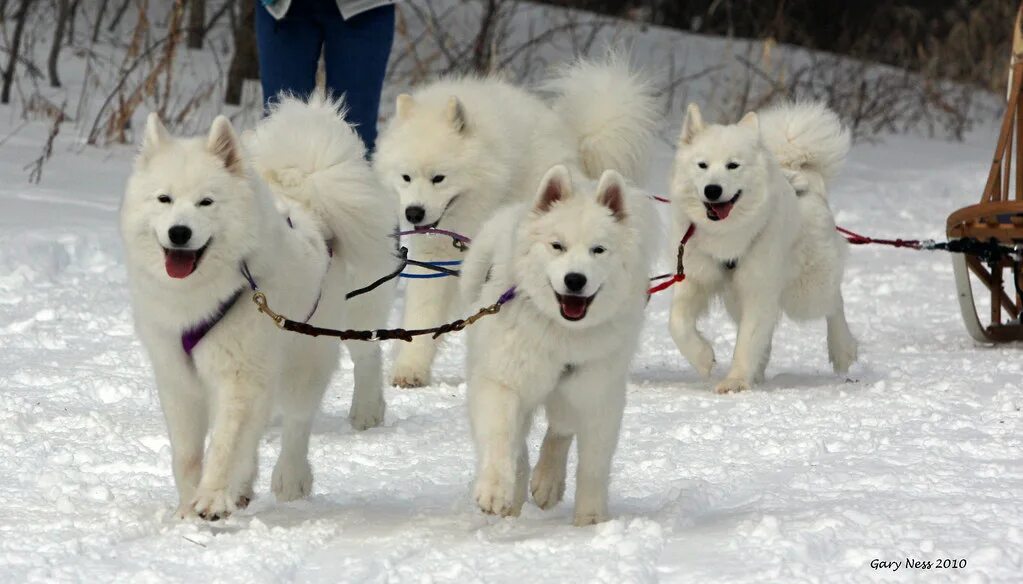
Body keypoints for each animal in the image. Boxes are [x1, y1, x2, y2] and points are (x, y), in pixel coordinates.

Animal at [117, 96, 392, 521]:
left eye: (206, 202)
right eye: (164, 199)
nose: (179, 232)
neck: (202, 294)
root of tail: (310, 202)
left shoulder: (239, 375)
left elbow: (225, 444)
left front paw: (212, 498)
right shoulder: (178, 379)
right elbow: (187, 456)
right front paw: (188, 507)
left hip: (307, 354)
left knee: (303, 416)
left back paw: (295, 475)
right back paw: (244, 488)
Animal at [374, 59, 654, 388]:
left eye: (439, 178)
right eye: (405, 177)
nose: (414, 213)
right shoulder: (435, 258)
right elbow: (422, 315)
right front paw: (410, 369)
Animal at [460, 164, 658, 523]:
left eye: (598, 249)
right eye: (557, 246)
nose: (575, 280)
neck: (562, 333)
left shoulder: (598, 394)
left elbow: (592, 464)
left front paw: (590, 520)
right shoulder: (502, 381)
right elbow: (500, 436)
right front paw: (495, 491)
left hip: (571, 390)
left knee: (560, 428)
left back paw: (547, 482)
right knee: (522, 440)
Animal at [666, 101, 859, 392]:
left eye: (733, 165)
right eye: (702, 165)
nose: (712, 189)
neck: (726, 235)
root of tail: (802, 178)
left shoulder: (758, 290)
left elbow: (747, 341)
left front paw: (734, 381)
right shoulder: (694, 280)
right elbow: (677, 323)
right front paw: (703, 358)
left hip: (807, 293)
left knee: (834, 302)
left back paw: (842, 349)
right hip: (737, 299)